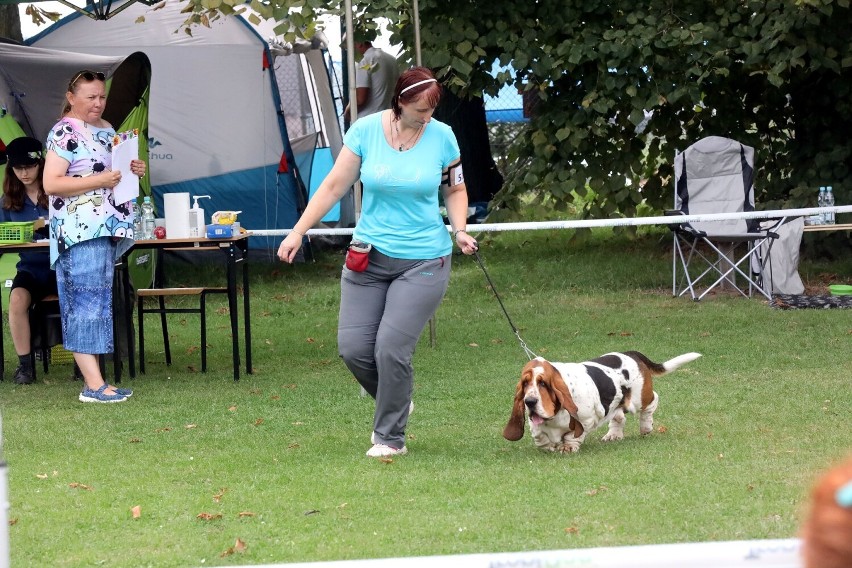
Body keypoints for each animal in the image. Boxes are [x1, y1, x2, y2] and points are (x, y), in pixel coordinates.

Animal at [502, 350, 704, 452]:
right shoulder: (536, 424)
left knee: (653, 401)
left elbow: (574, 434)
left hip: (638, 398)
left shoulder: (586, 419)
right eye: (525, 383)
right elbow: (540, 436)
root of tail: (631, 353)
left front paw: (568, 446)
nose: (529, 402)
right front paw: (549, 445)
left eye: (543, 383)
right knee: (619, 416)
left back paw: (646, 426)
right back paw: (614, 434)